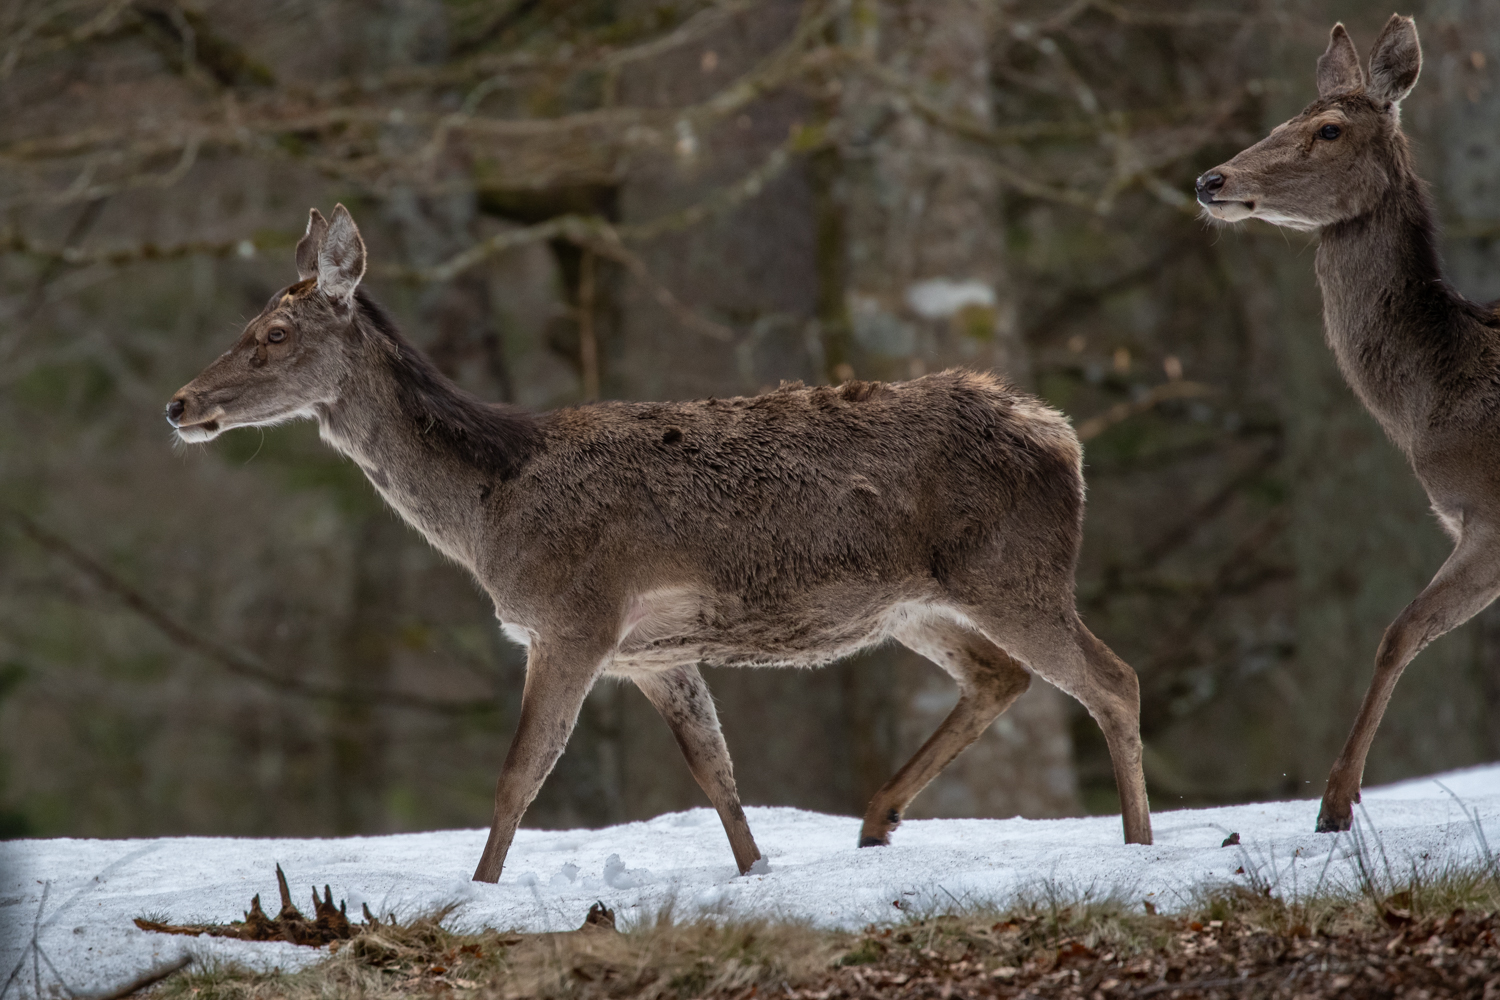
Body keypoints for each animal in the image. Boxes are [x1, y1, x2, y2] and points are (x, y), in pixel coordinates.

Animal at [167, 205, 1146, 881]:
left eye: (273, 334)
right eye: (248, 327)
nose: (180, 404)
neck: (491, 510)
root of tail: (1064, 437)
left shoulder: (575, 619)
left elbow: (518, 776)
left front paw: (474, 894)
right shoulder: (653, 652)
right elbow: (718, 777)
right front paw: (756, 873)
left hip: (1015, 573)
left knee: (1113, 679)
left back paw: (1138, 846)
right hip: (916, 603)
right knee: (1001, 676)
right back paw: (877, 821)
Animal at [1188, 15, 1494, 833]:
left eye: (1327, 129)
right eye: (1277, 121)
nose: (1210, 180)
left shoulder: (1490, 514)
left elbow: (1398, 633)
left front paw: (1334, 801)